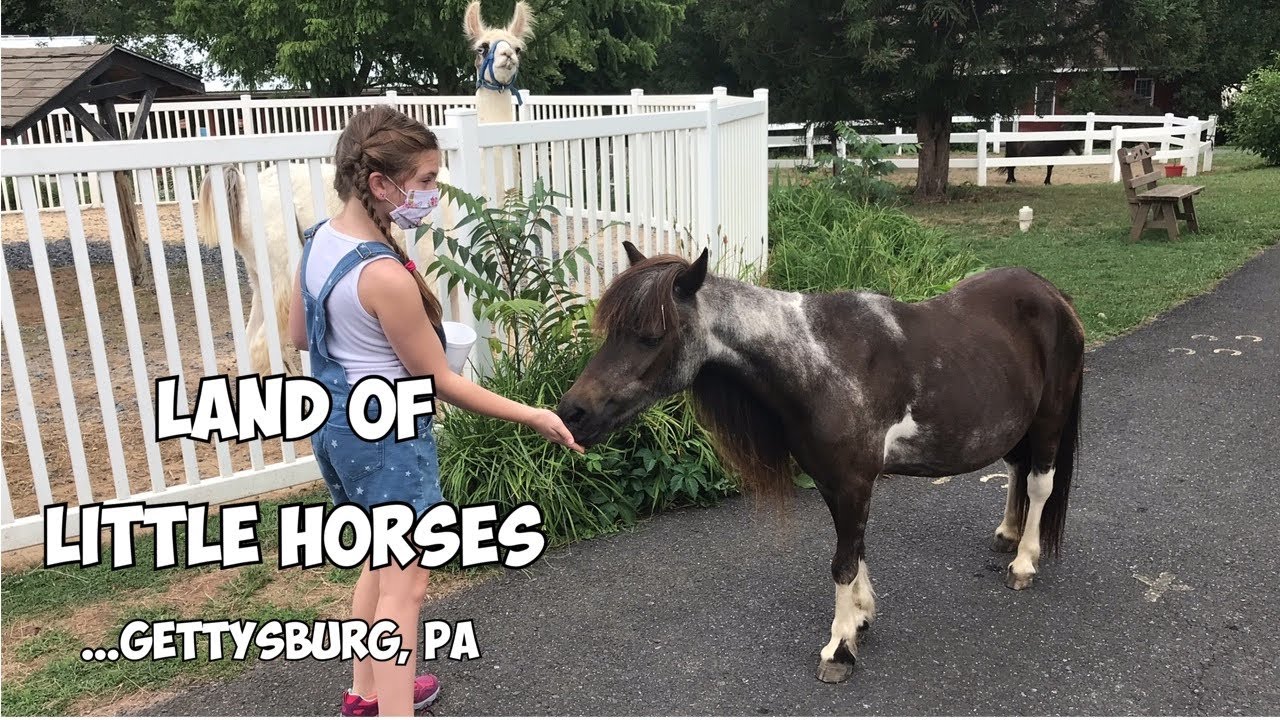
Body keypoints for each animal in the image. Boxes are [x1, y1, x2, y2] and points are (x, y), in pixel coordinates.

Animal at [556, 241, 1085, 683]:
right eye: (614, 331)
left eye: (650, 336)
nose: (571, 413)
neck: (822, 363)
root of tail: (1052, 295)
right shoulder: (836, 482)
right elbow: (855, 549)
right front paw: (861, 616)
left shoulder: (853, 482)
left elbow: (842, 562)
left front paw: (839, 648)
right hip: (1014, 425)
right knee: (1015, 469)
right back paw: (1008, 534)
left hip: (1049, 420)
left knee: (1039, 483)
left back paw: (1023, 562)